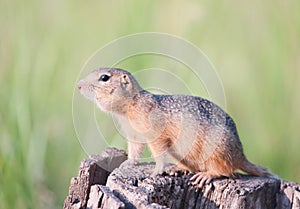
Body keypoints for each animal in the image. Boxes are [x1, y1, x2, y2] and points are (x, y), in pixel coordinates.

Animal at [77, 67, 276, 188]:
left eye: (104, 77)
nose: (78, 85)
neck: (129, 107)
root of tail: (241, 155)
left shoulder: (155, 133)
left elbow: (158, 152)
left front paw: (156, 170)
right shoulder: (133, 134)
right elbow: (135, 149)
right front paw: (128, 163)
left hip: (218, 150)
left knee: (226, 170)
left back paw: (207, 175)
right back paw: (179, 168)